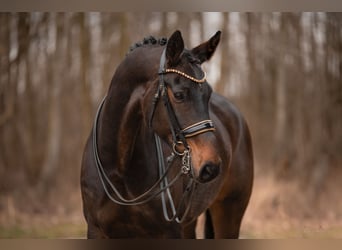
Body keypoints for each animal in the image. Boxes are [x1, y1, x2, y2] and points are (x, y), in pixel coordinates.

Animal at [79, 30, 252, 238]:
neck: (118, 169)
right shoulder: (96, 230)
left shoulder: (168, 231)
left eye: (208, 93)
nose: (211, 167)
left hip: (229, 213)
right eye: (178, 95)